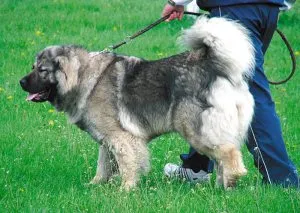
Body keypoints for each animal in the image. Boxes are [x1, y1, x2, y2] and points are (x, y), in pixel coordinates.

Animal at [19, 16, 253, 190]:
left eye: (42, 70)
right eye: (33, 67)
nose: (21, 82)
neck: (83, 77)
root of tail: (217, 67)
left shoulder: (121, 137)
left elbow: (127, 163)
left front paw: (126, 189)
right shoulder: (107, 140)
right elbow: (103, 165)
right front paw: (95, 185)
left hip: (196, 130)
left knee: (229, 153)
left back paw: (232, 178)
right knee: (222, 160)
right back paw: (222, 187)